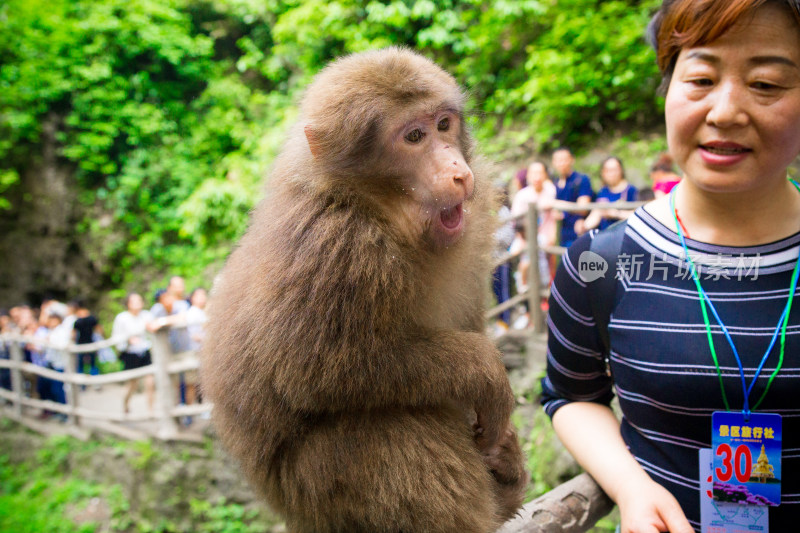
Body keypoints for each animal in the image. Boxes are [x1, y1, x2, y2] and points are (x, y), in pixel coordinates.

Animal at [200, 47, 524, 528]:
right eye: (413, 137)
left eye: (443, 125)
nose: (457, 171)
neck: (379, 212)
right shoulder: (336, 249)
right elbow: (311, 371)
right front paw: (484, 371)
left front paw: (503, 446)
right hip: (314, 491)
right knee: (392, 430)